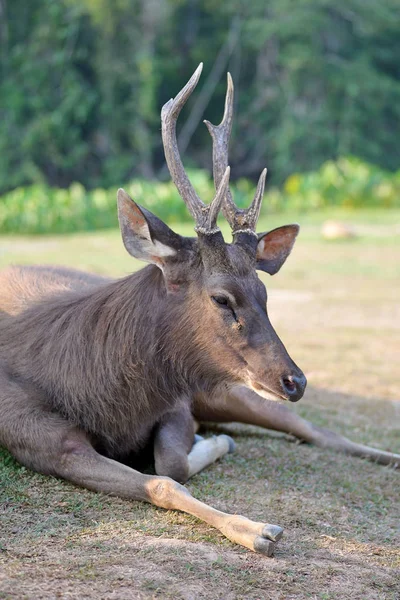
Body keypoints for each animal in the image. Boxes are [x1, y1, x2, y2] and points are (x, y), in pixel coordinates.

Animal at [0, 64, 398, 556]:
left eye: (266, 294)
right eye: (222, 298)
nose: (296, 380)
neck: (100, 392)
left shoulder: (177, 401)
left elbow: (172, 464)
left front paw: (218, 449)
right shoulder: (36, 435)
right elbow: (164, 481)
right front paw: (256, 528)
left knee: (312, 429)